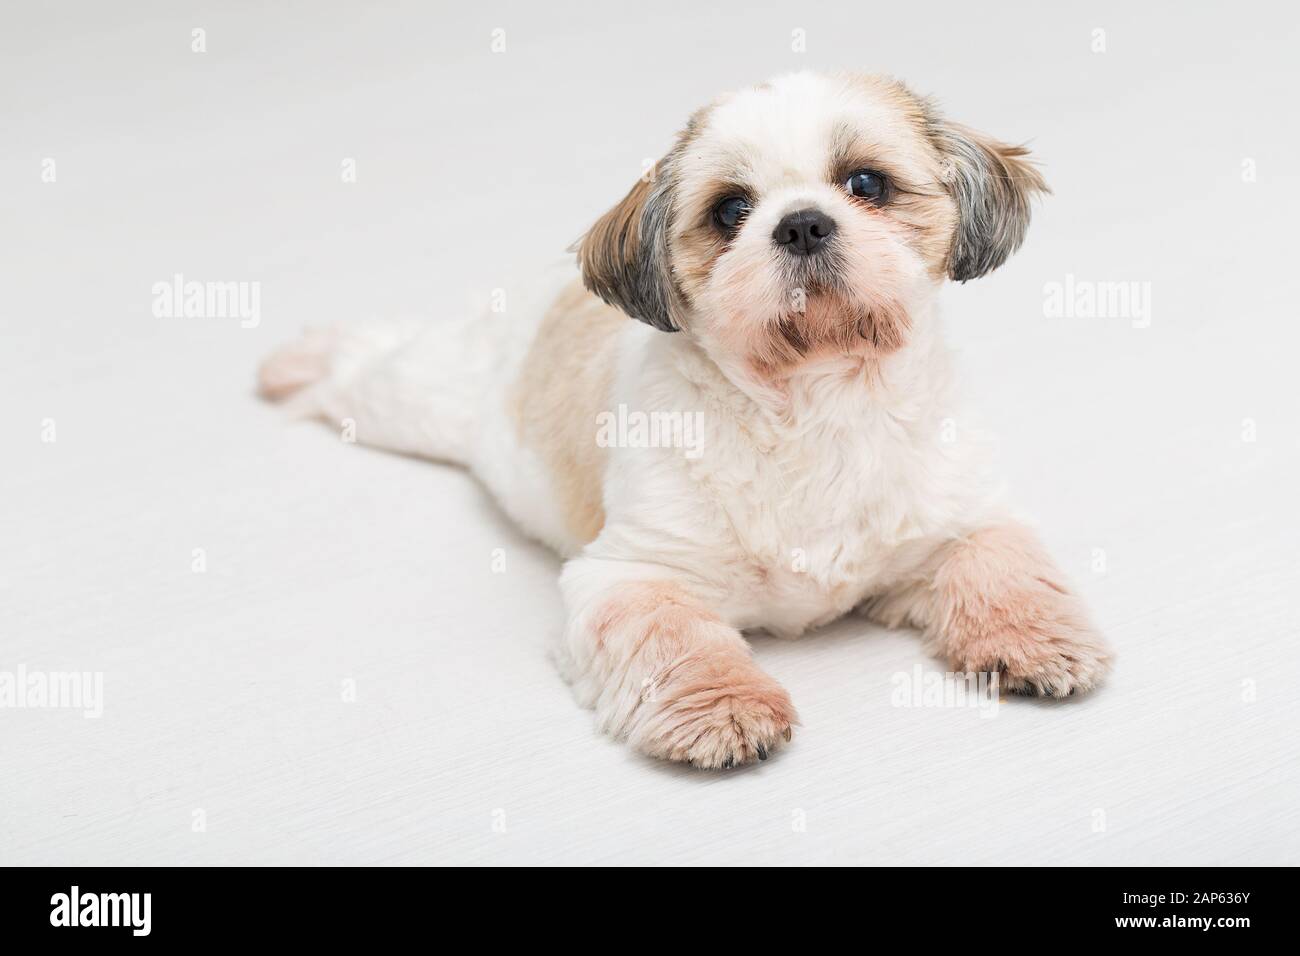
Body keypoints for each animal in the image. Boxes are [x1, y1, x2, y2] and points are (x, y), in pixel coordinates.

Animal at [258, 74, 1112, 775]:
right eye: (730, 210)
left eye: (865, 183)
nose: (802, 223)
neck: (816, 402)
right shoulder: (633, 573)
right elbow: (676, 638)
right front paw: (723, 709)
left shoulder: (963, 516)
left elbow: (1002, 565)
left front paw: (1037, 639)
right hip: (413, 400)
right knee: (362, 367)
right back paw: (307, 361)